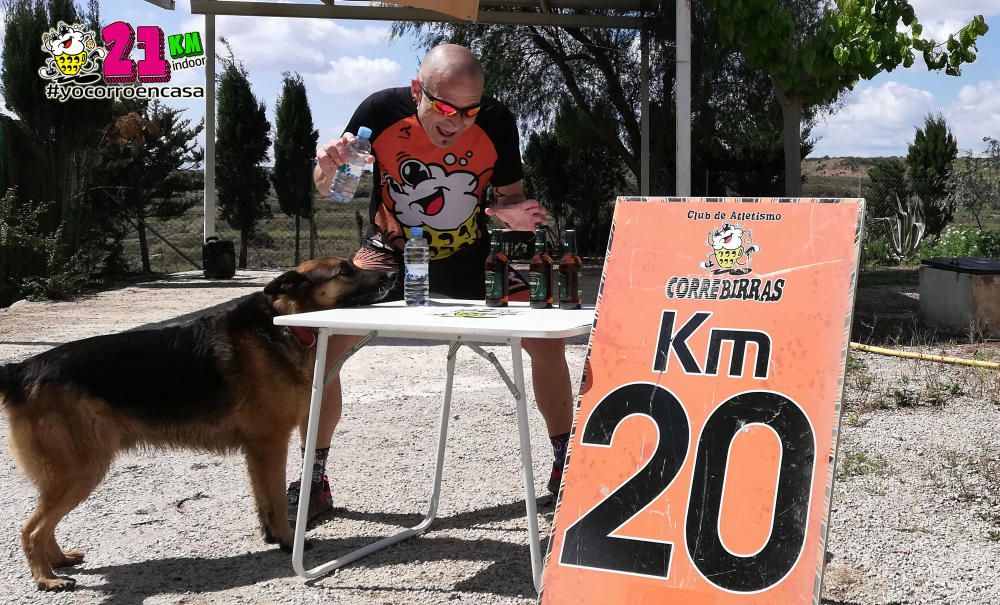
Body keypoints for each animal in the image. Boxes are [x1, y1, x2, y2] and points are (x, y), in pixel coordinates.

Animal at [0, 256, 396, 588]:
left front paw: (271, 536)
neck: (284, 323)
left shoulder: (257, 450)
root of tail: (20, 369)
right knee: (31, 529)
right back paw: (46, 579)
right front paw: (286, 540)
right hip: (82, 472)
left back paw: (58, 561)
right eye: (344, 270)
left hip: (70, 475)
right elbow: (274, 498)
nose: (393, 274)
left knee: (43, 524)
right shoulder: (271, 444)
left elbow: (263, 500)